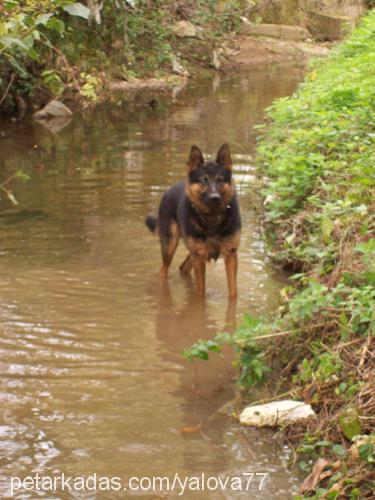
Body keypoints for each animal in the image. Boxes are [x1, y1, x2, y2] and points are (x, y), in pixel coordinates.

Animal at [145, 145, 242, 300]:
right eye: (203, 180)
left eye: (220, 180)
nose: (215, 197)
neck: (212, 217)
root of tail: (168, 190)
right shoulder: (200, 256)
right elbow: (200, 292)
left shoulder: (230, 255)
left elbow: (233, 293)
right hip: (170, 247)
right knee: (163, 270)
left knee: (183, 267)